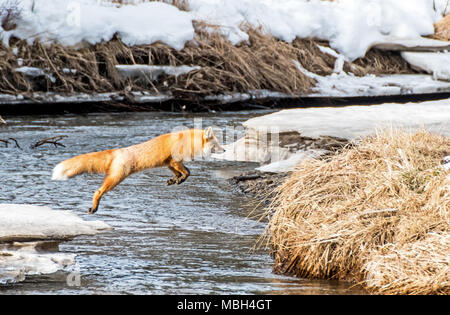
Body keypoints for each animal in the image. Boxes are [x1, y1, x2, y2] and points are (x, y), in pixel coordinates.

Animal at [51, 128, 224, 215]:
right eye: (216, 144)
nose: (225, 150)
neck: (189, 141)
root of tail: (117, 151)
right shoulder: (175, 160)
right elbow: (187, 173)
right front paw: (178, 180)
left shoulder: (169, 162)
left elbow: (182, 173)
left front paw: (174, 181)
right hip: (116, 178)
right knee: (98, 191)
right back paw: (94, 207)